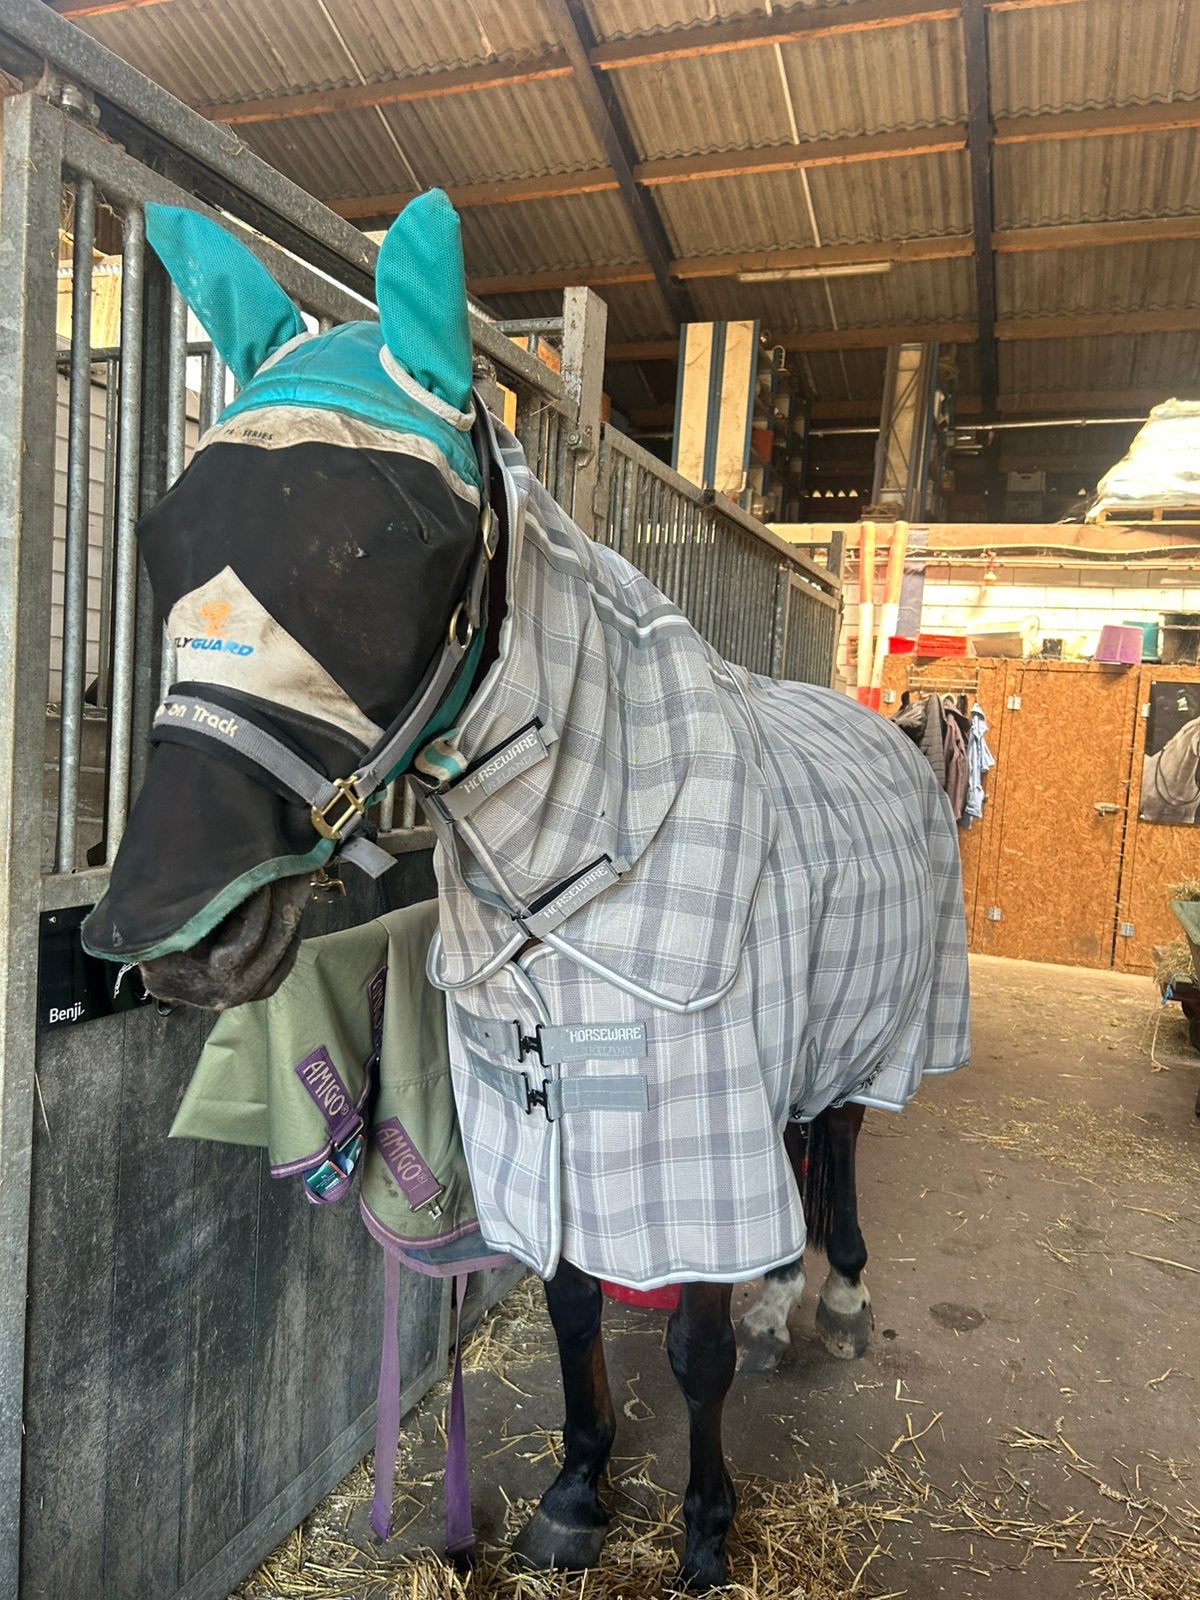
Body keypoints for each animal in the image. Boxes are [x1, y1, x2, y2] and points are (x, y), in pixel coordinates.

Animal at [82, 190, 970, 1590]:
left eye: (390, 543)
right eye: (169, 531)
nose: (166, 933)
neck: (590, 858)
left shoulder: (681, 1130)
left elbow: (691, 1345)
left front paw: (704, 1528)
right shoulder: (542, 1120)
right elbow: (568, 1302)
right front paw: (576, 1489)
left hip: (870, 1033)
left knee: (832, 1141)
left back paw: (830, 1298)